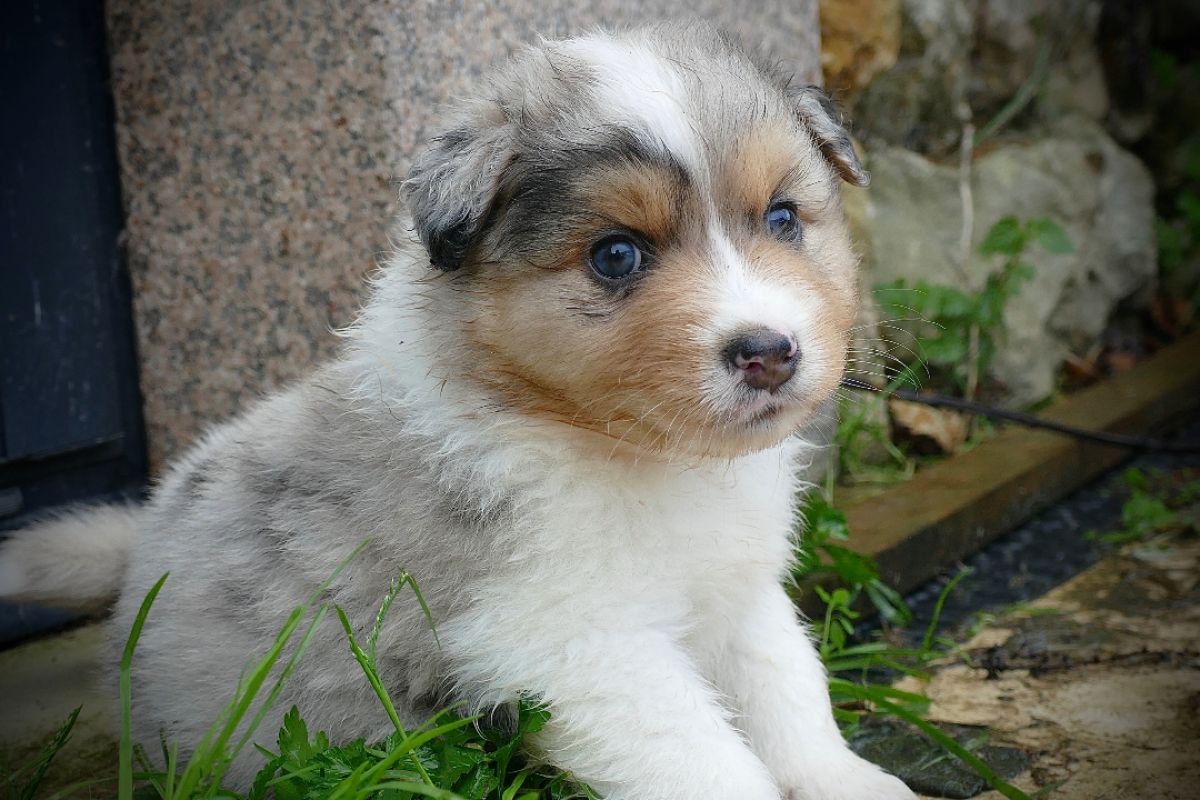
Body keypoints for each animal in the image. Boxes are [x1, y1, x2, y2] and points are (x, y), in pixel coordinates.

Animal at [0, 21, 912, 796]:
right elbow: (705, 760)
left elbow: (791, 695)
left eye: (783, 218)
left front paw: (856, 783)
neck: (638, 455)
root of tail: (138, 546)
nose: (769, 352)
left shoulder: (740, 596)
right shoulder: (574, 642)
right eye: (616, 256)